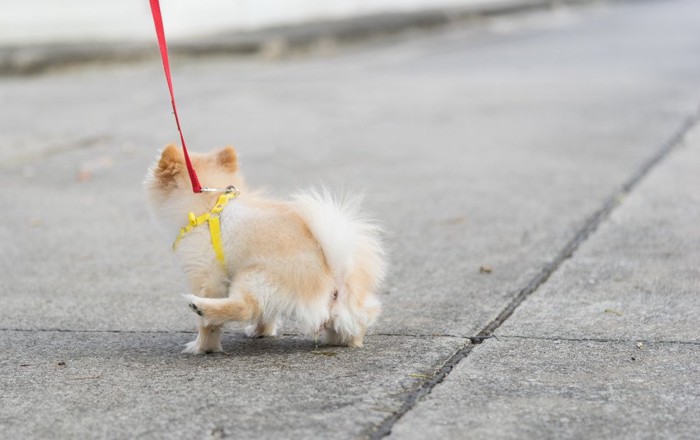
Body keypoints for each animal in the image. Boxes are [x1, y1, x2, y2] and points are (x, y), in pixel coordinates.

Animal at [144, 146, 386, 356]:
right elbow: (267, 314)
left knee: (246, 306)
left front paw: (202, 346)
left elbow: (209, 326)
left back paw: (202, 307)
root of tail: (334, 279)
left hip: (254, 276)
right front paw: (262, 331)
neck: (210, 205)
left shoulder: (206, 275)